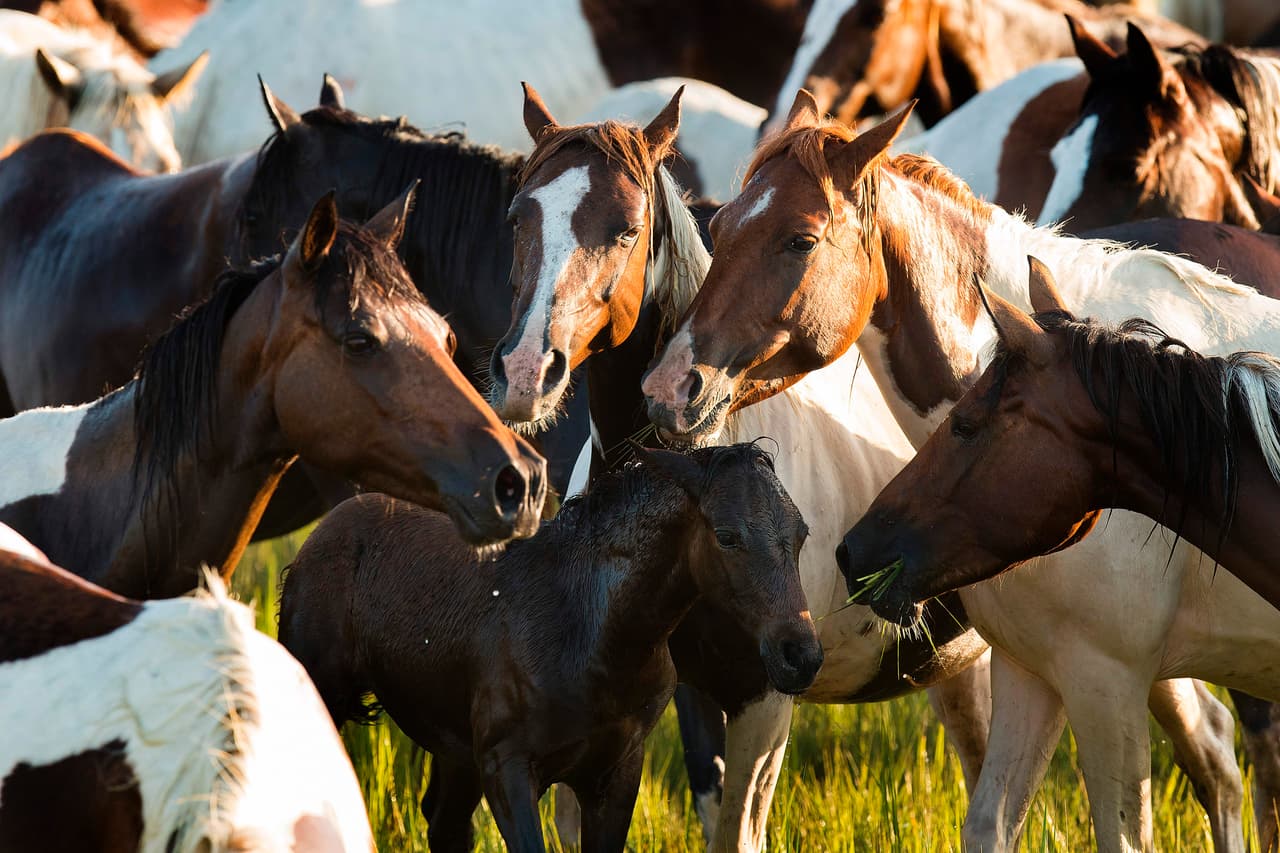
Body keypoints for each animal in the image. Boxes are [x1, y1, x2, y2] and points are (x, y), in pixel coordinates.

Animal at [278, 443, 821, 853]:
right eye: (727, 537)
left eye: (801, 534)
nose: (800, 655)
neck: (592, 634)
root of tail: (330, 526)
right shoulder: (508, 770)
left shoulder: (614, 774)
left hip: (455, 750)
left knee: (444, 824)